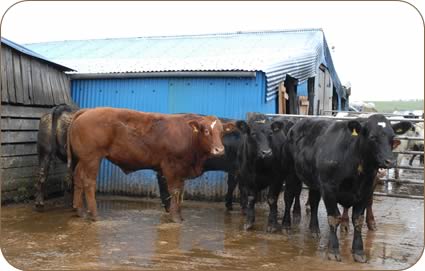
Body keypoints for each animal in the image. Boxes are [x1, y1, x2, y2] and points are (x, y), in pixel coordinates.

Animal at [66, 108, 234, 223]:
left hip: (83, 159)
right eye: (206, 131)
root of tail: (88, 110)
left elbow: (180, 192)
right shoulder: (171, 167)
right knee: (89, 183)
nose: (219, 150)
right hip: (92, 158)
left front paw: (179, 215)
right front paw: (175, 217)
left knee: (78, 178)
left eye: (222, 132)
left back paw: (80, 210)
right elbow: (174, 191)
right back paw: (94, 215)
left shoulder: (182, 170)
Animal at [284, 115, 410, 264]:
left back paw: (314, 229)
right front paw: (333, 250)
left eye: (392, 137)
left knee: (314, 203)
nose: (390, 161)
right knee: (289, 197)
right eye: (373, 137)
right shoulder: (328, 189)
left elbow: (358, 220)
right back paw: (286, 225)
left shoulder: (365, 191)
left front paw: (359, 251)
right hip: (291, 174)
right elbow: (334, 218)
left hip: (314, 182)